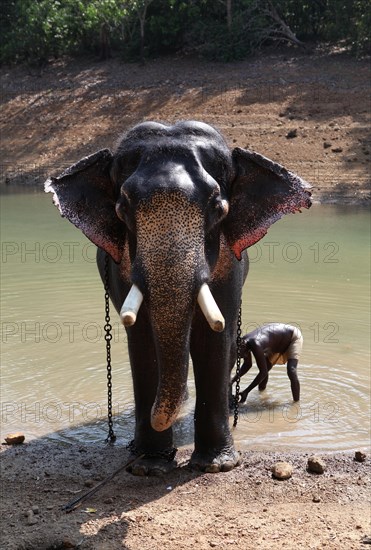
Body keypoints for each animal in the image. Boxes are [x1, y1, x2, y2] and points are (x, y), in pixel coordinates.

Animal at [45, 121, 312, 474]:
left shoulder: (229, 268)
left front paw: (216, 466)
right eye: (122, 209)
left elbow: (215, 338)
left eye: (218, 208)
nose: (157, 419)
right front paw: (148, 464)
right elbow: (142, 340)